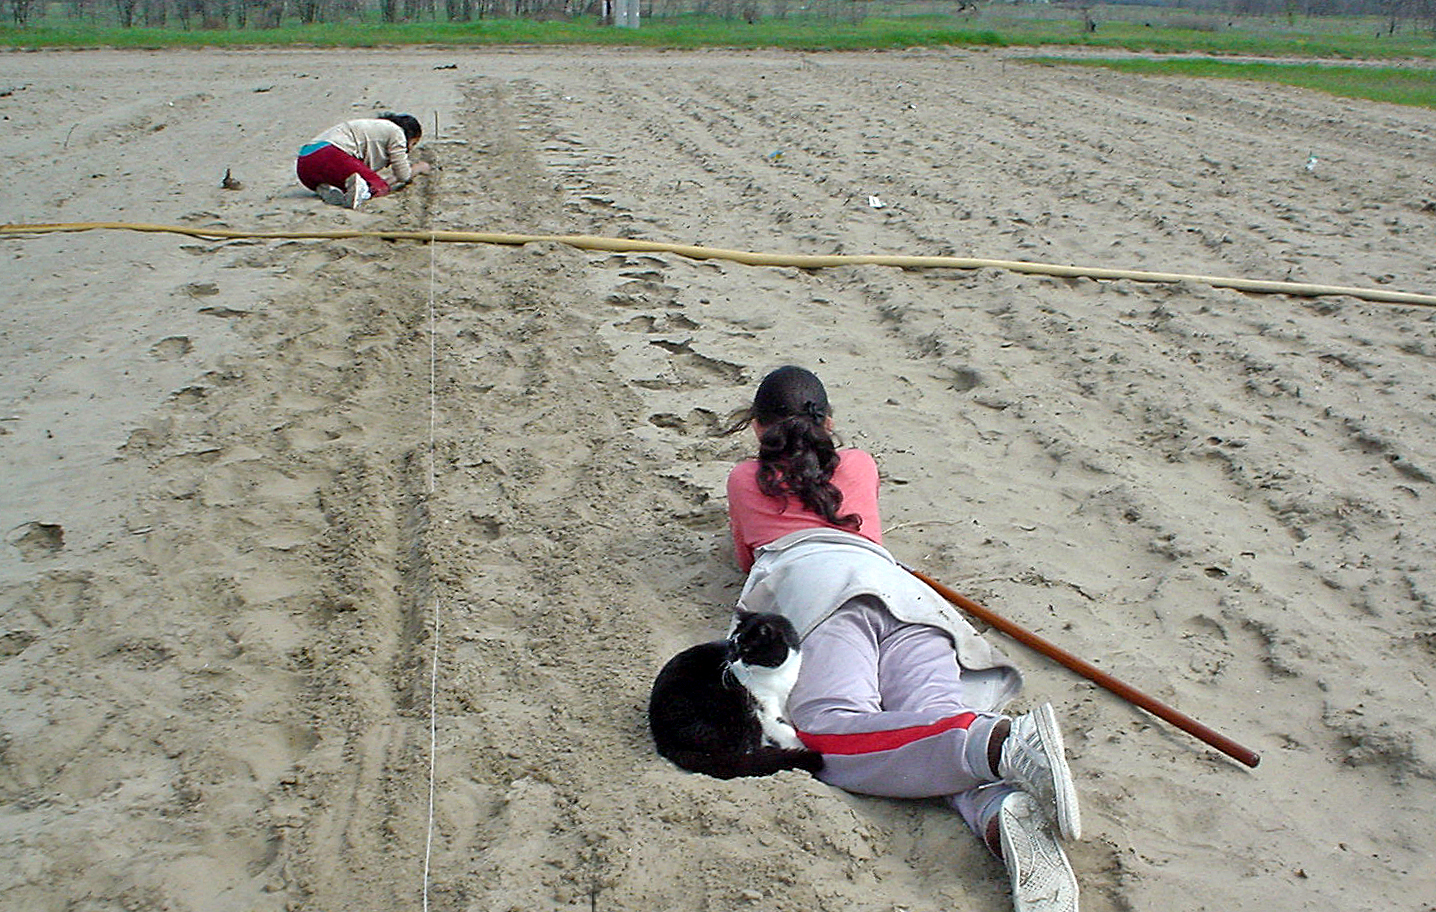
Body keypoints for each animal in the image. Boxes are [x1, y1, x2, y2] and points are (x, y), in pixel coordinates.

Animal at [649, 608, 821, 781]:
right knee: (748, 750)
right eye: (731, 644)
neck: (775, 675)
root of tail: (666, 741)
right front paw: (799, 745)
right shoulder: (763, 706)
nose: (730, 660)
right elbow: (785, 729)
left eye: (745, 650)